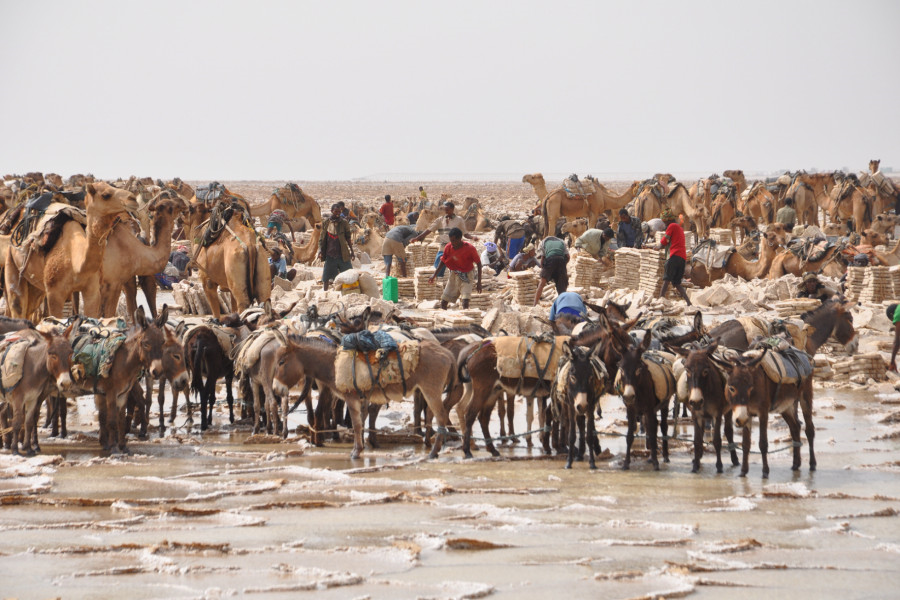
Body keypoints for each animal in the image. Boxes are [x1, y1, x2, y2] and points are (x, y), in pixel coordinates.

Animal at [4, 183, 132, 322]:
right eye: (106, 195)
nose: (132, 198)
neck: (77, 263)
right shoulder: (54, 293)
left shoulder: (92, 291)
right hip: (11, 260)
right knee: (17, 305)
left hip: (36, 285)